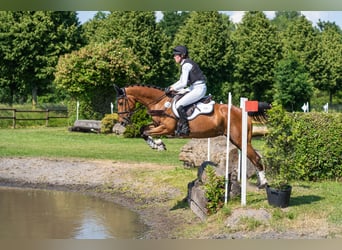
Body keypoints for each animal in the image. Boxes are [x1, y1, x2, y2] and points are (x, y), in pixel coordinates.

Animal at [114, 84, 270, 188]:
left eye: (121, 102)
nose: (122, 122)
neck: (161, 103)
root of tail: (243, 111)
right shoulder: (157, 125)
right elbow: (143, 130)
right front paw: (157, 145)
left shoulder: (167, 129)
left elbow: (146, 132)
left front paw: (158, 144)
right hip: (236, 140)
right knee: (254, 157)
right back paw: (260, 181)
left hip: (240, 139)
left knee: (256, 158)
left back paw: (263, 183)